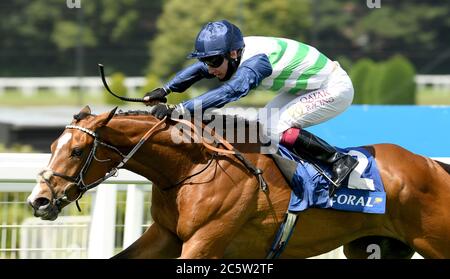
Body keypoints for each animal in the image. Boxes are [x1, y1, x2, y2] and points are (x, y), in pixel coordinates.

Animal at [27, 106, 450, 260]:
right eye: (51, 146)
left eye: (77, 150)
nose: (39, 200)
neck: (190, 168)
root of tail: (432, 165)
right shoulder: (166, 235)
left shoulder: (204, 242)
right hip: (372, 249)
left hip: (434, 240)